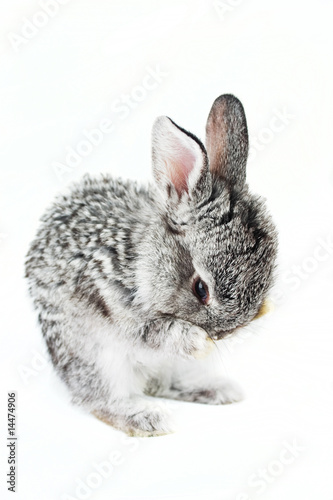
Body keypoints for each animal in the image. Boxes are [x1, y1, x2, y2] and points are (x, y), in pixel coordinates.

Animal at [24, 94, 276, 438]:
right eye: (201, 289)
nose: (221, 336)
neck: (146, 258)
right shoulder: (113, 297)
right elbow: (155, 332)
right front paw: (199, 341)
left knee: (165, 384)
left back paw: (217, 390)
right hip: (98, 359)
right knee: (99, 400)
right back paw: (146, 418)